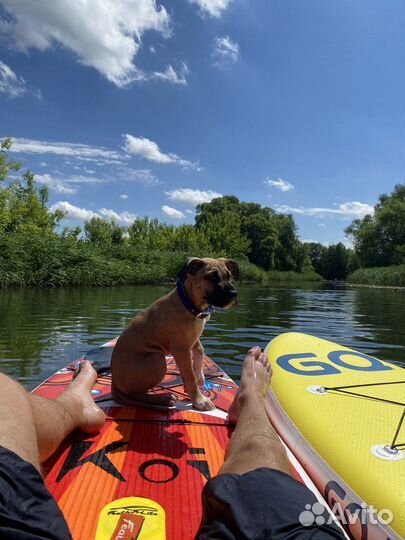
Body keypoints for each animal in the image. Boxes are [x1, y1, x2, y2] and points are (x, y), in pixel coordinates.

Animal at [110, 258, 238, 410]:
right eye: (211, 277)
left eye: (229, 276)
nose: (234, 294)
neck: (189, 304)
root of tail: (113, 383)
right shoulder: (181, 349)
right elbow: (190, 377)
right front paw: (199, 400)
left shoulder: (192, 337)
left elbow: (200, 350)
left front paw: (200, 375)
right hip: (156, 360)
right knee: (135, 394)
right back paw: (163, 399)